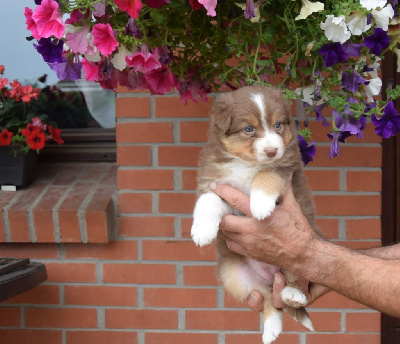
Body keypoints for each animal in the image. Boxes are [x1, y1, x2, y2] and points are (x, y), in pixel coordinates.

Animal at [191, 85, 318, 344]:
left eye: (278, 125)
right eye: (249, 129)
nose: (271, 150)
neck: (246, 164)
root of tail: (271, 276)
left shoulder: (286, 167)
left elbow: (267, 173)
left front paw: (260, 203)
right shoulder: (217, 182)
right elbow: (208, 199)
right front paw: (202, 231)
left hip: (301, 255)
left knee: (293, 281)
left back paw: (293, 294)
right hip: (235, 276)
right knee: (269, 299)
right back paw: (271, 330)